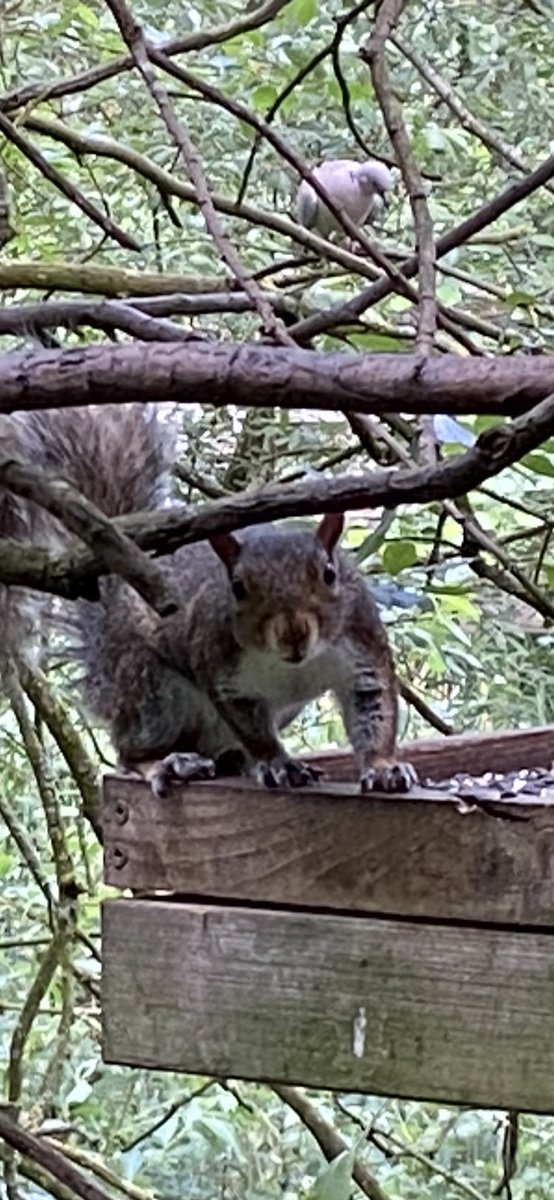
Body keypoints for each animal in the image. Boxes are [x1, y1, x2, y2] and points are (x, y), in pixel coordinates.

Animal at [2, 403, 414, 796]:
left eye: (329, 574)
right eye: (238, 588)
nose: (293, 634)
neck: (290, 665)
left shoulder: (361, 643)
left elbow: (374, 706)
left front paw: (384, 768)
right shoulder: (218, 665)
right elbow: (253, 729)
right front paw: (277, 763)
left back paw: (233, 761)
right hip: (150, 692)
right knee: (130, 752)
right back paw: (167, 764)